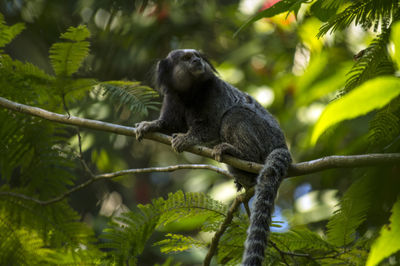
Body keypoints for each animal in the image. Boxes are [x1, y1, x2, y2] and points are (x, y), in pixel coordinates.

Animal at [136, 48, 292, 264]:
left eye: (197, 56)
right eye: (186, 58)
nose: (196, 60)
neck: (190, 93)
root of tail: (281, 144)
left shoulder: (214, 90)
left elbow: (211, 126)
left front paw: (186, 138)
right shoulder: (173, 96)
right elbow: (170, 124)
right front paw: (149, 126)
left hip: (265, 136)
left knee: (234, 115)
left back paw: (238, 152)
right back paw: (245, 178)